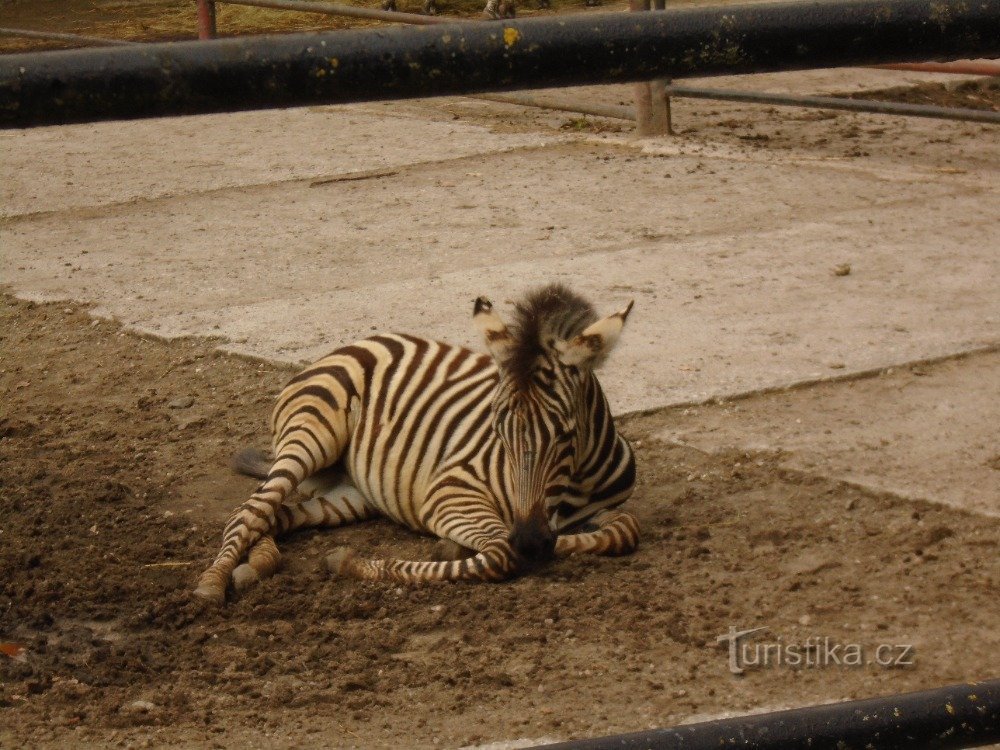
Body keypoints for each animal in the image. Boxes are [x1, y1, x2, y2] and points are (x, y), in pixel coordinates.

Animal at [191, 284, 636, 608]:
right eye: (498, 429)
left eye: (565, 434)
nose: (530, 540)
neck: (576, 487)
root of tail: (356, 342)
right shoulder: (451, 493)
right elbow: (500, 554)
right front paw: (349, 563)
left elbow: (623, 530)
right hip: (311, 433)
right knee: (249, 511)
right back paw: (213, 583)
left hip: (355, 494)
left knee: (274, 516)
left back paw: (257, 564)